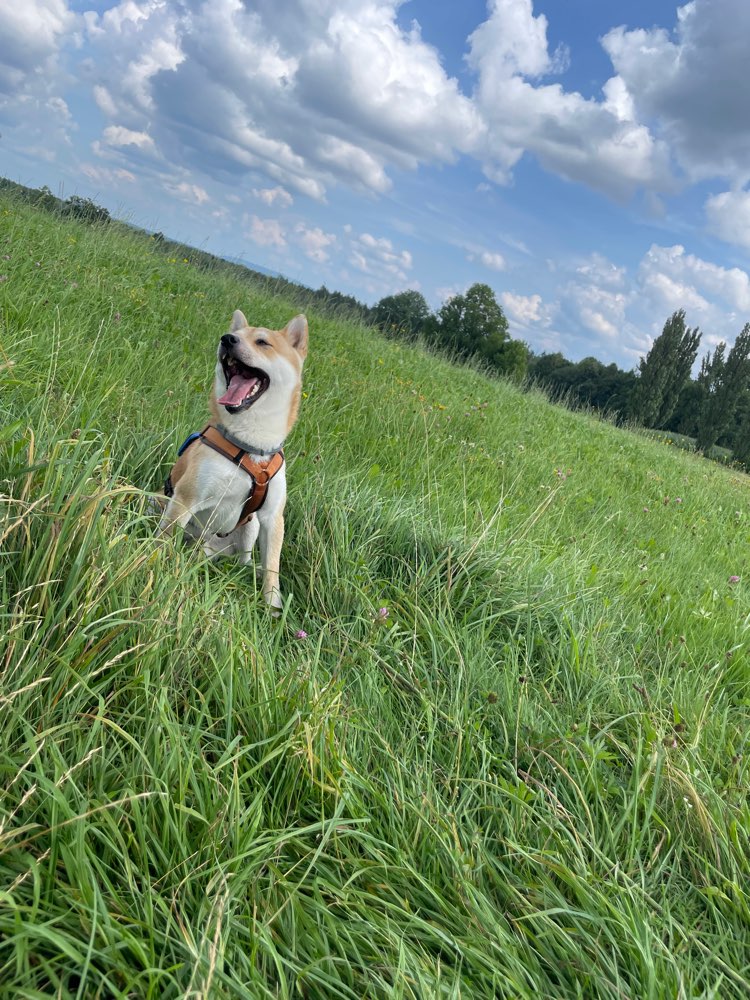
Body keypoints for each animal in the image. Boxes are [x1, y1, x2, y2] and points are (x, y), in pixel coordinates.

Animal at [160, 310, 310, 608]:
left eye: (262, 342)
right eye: (234, 336)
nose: (227, 339)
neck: (251, 446)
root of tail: (213, 552)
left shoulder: (272, 517)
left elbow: (272, 567)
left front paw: (273, 607)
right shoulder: (185, 498)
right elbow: (167, 540)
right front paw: (156, 567)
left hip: (250, 528)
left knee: (245, 559)